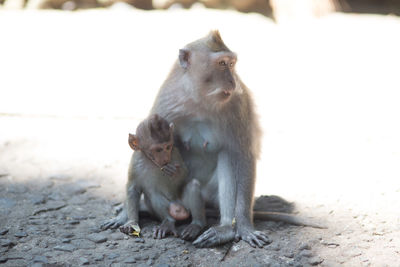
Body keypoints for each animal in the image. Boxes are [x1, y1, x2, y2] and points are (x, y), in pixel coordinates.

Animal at [148, 30, 268, 248]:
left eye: (231, 63)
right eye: (221, 63)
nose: (233, 82)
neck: (200, 100)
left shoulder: (238, 105)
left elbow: (242, 156)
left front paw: (245, 227)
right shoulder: (167, 102)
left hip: (211, 194)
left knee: (227, 157)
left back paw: (225, 228)